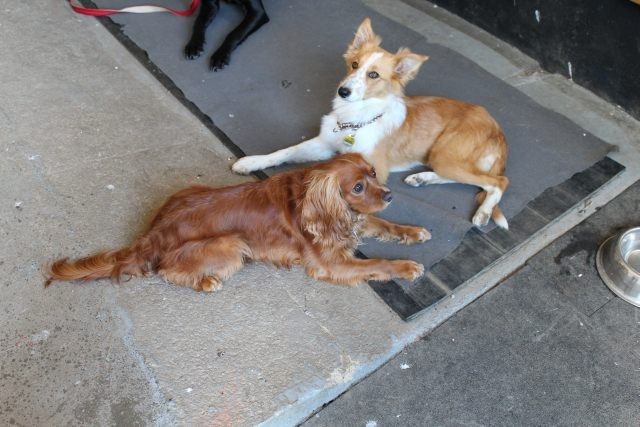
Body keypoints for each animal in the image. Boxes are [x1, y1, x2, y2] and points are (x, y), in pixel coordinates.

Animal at [45, 154, 428, 291]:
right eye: (357, 187)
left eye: (374, 173)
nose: (389, 195)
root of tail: (152, 234)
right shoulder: (330, 264)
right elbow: (376, 263)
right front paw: (406, 266)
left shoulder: (355, 221)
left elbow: (383, 225)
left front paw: (413, 231)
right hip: (231, 244)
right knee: (166, 270)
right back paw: (206, 281)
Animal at [232, 18, 510, 229]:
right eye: (354, 65)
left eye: (373, 74)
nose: (343, 91)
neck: (355, 120)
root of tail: (496, 127)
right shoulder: (324, 143)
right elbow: (284, 151)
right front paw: (252, 162)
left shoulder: (373, 167)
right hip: (442, 158)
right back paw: (422, 178)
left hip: (446, 154)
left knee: (497, 182)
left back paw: (483, 212)